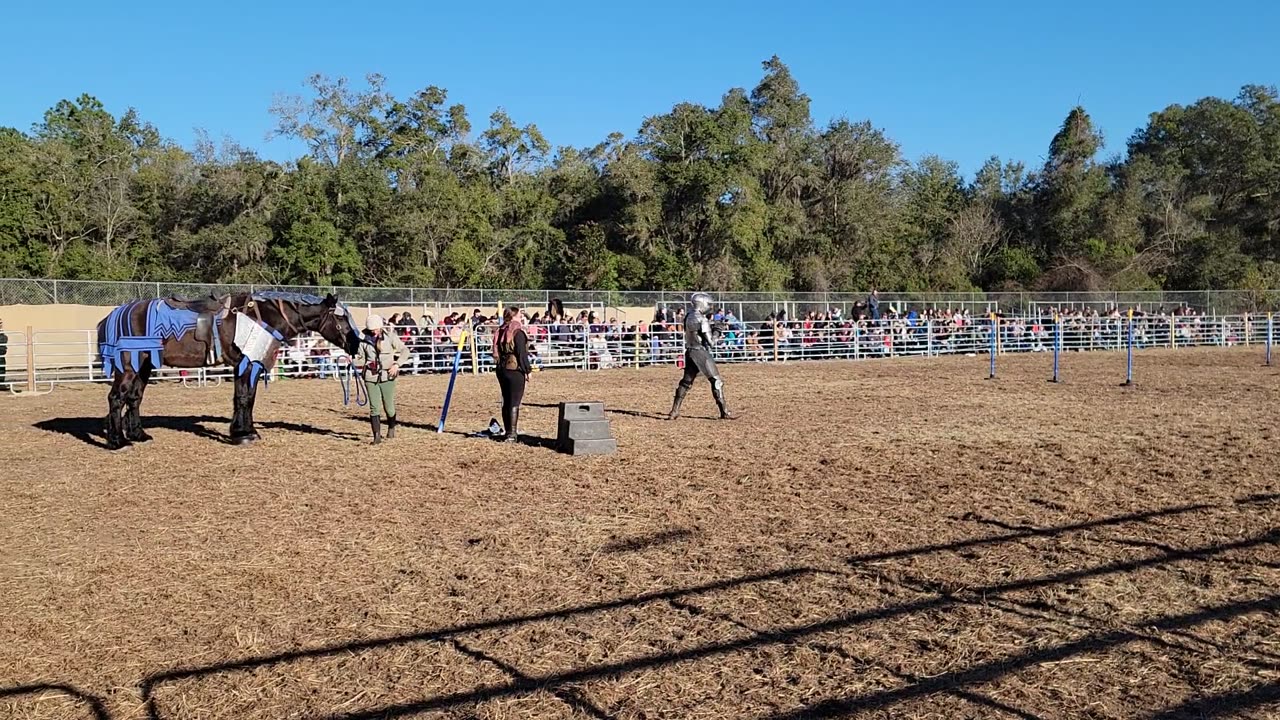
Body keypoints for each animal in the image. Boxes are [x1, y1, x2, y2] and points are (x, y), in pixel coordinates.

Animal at [96, 286, 360, 445]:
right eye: (341, 318)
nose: (356, 343)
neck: (262, 316)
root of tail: (113, 315)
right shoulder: (245, 364)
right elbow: (243, 398)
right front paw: (242, 434)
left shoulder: (249, 365)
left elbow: (248, 398)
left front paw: (246, 431)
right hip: (128, 367)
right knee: (116, 398)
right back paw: (118, 441)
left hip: (144, 366)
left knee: (134, 398)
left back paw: (138, 434)